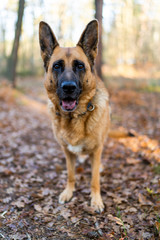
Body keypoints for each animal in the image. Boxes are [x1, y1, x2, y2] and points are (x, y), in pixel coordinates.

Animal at [38, 20, 110, 212]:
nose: (69, 88)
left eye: (80, 66)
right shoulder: (67, 152)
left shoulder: (97, 150)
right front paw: (68, 193)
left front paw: (96, 200)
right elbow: (71, 174)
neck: (74, 117)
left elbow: (94, 179)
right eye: (57, 66)